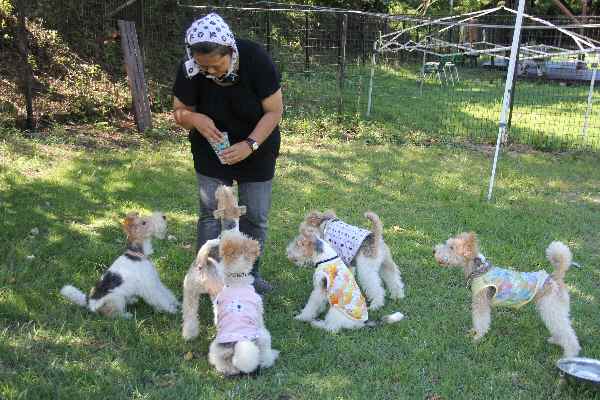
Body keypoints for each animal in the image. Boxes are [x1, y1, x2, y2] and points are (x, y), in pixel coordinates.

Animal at [182, 185, 245, 340]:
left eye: (230, 194)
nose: (222, 186)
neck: (230, 229)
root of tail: (202, 265)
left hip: (190, 293)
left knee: (189, 316)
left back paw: (189, 336)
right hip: (217, 295)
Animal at [207, 230, 279, 376]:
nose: (221, 234)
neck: (237, 278)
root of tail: (239, 341)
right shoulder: (259, 307)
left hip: (218, 350)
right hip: (264, 336)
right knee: (265, 358)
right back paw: (272, 356)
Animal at [433, 232, 580, 357]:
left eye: (451, 247)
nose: (434, 250)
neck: (479, 270)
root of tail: (555, 277)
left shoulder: (481, 303)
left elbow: (481, 322)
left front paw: (476, 337)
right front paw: (472, 333)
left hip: (551, 308)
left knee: (568, 334)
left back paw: (569, 355)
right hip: (554, 310)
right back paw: (555, 340)